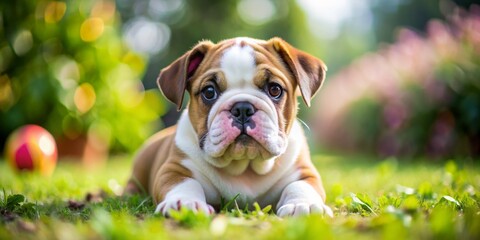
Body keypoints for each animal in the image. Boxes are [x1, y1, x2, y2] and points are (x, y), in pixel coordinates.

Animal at [125, 37, 332, 218]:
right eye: (209, 92)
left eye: (275, 89)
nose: (242, 108)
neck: (245, 167)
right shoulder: (174, 169)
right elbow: (184, 183)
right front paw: (184, 202)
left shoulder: (304, 172)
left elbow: (300, 186)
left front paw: (303, 205)